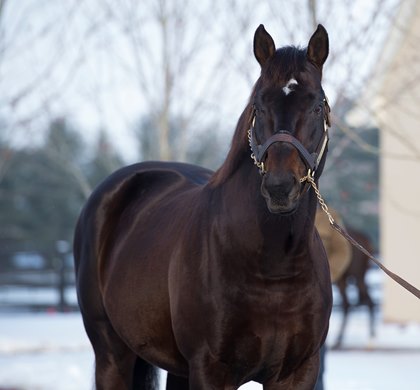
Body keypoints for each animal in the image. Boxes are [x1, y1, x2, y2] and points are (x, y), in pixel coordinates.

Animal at [74, 24, 332, 390]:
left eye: (317, 106)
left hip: (177, 369)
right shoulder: (210, 370)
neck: (274, 269)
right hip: (112, 355)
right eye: (258, 106)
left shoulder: (298, 372)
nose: (280, 187)